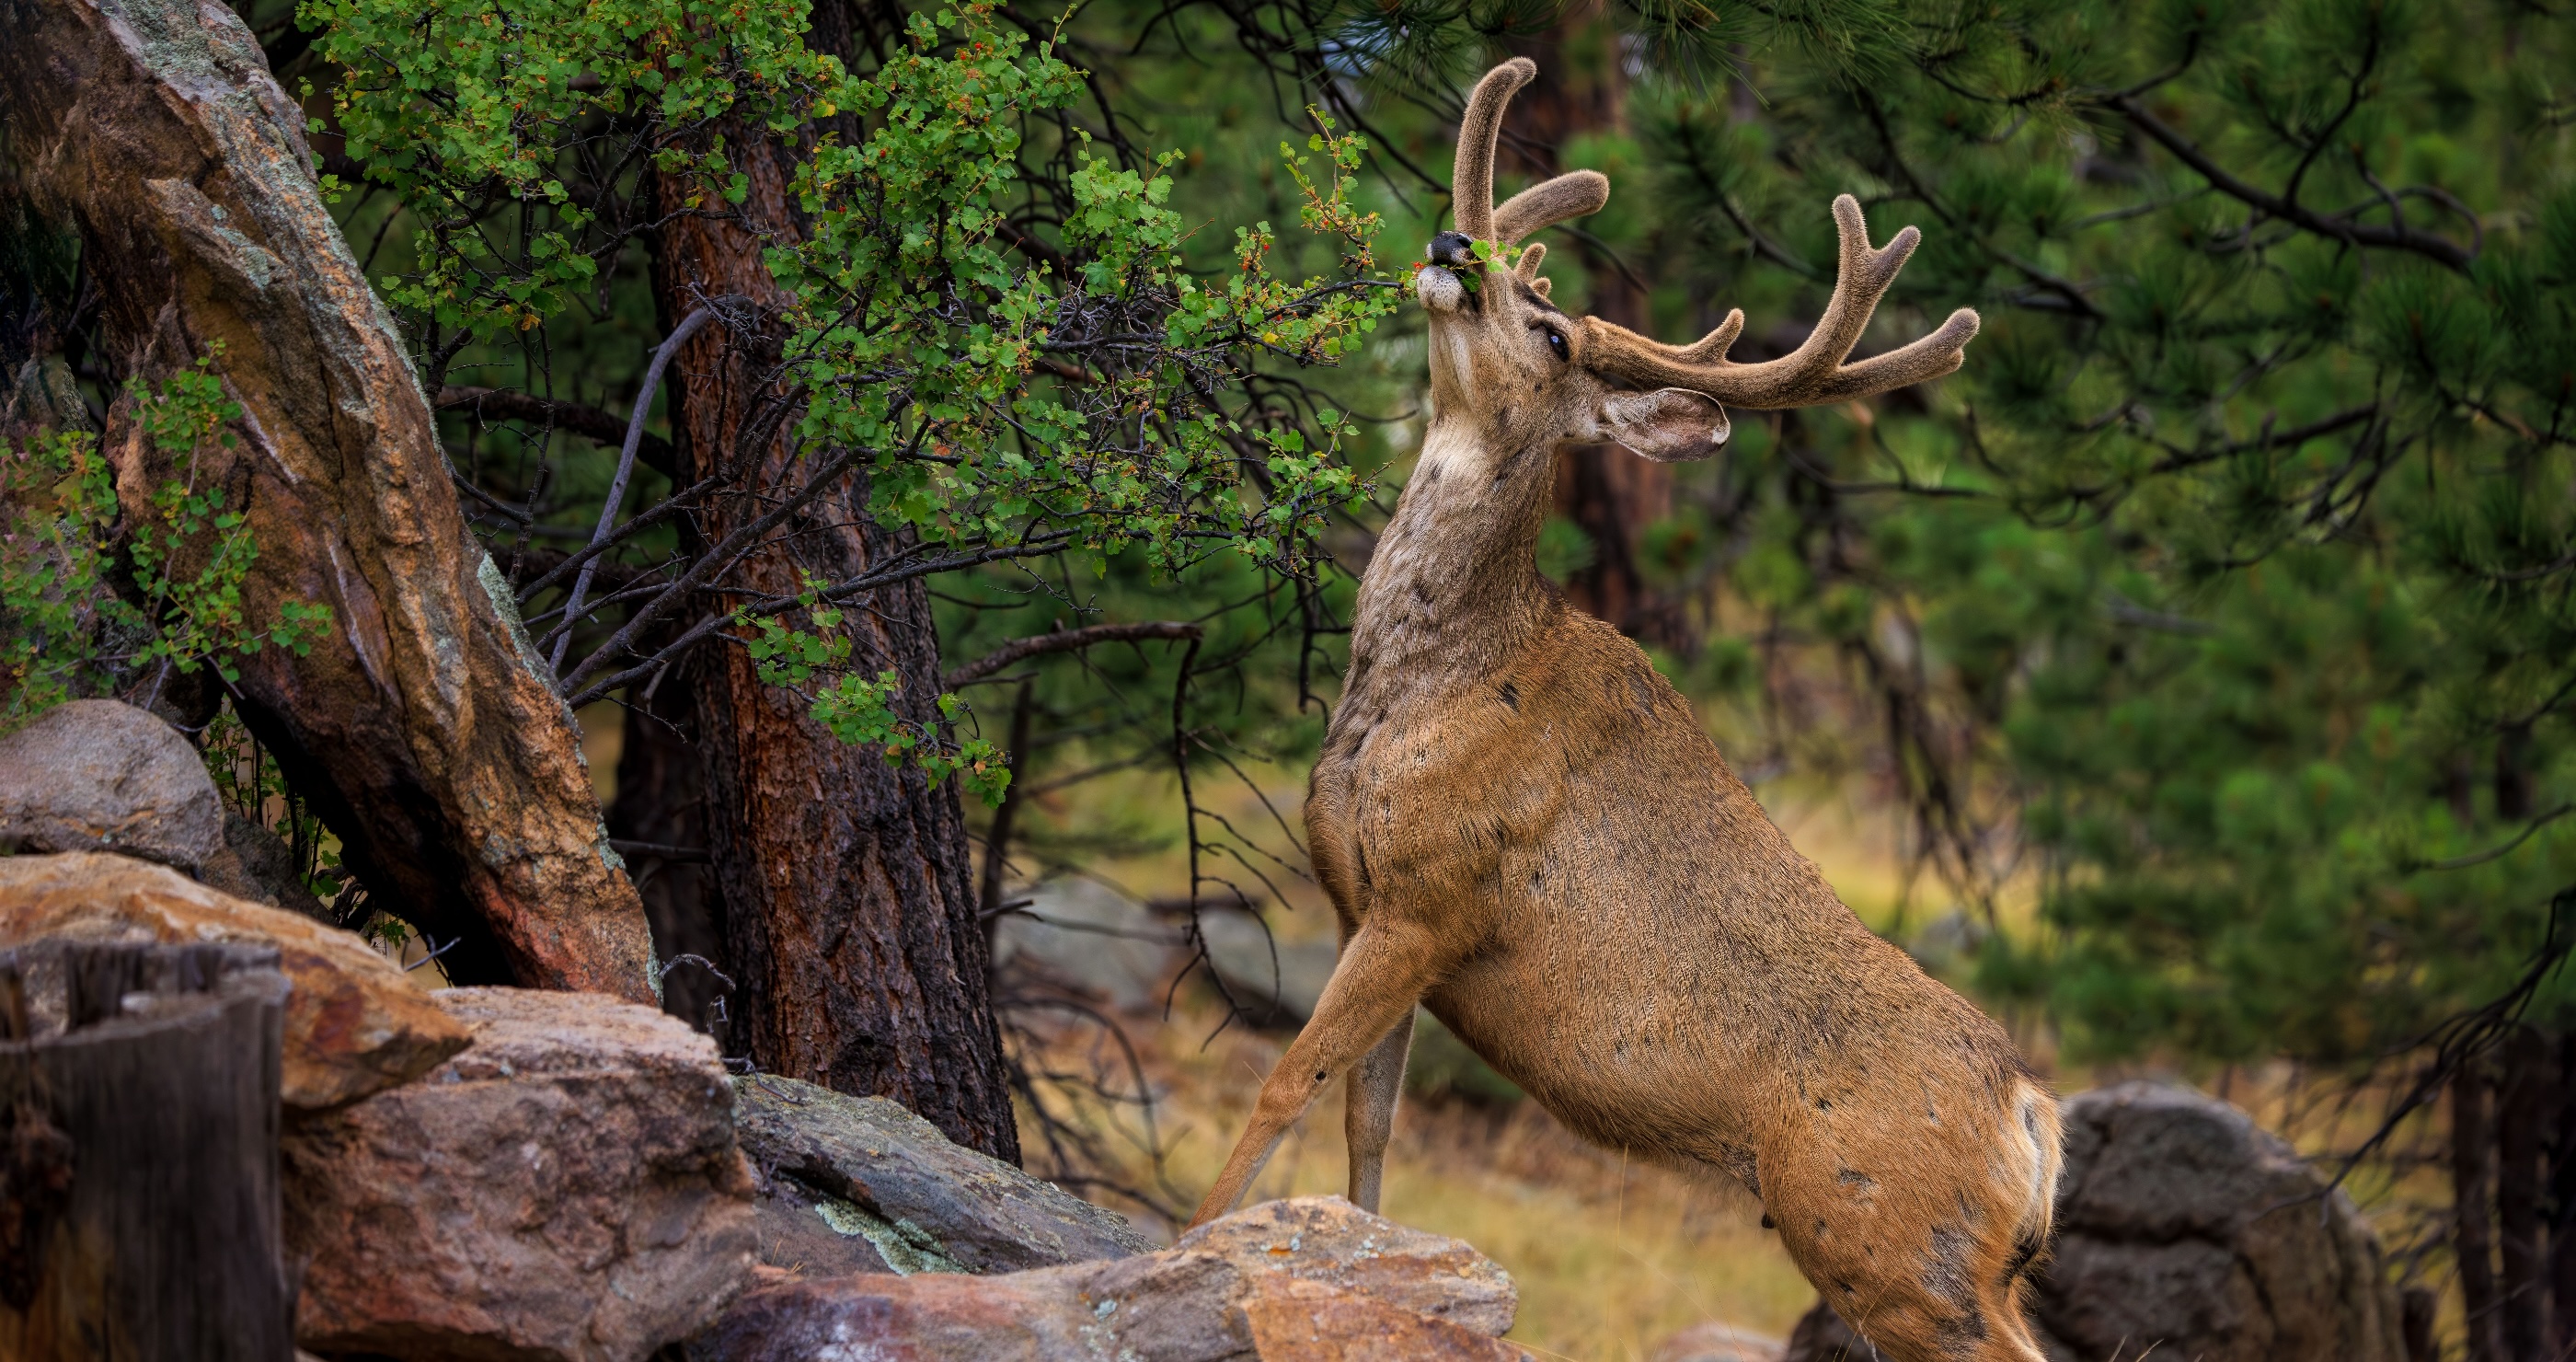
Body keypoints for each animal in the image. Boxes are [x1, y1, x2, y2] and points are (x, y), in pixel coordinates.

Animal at [1186, 57, 2062, 1362]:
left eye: (1549, 331)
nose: (1454, 244)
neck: (1427, 680)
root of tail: (2033, 1116)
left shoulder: (1434, 895)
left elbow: (1285, 1081)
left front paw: (1185, 1242)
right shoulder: (1360, 904)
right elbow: (1368, 1126)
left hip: (1893, 1242)